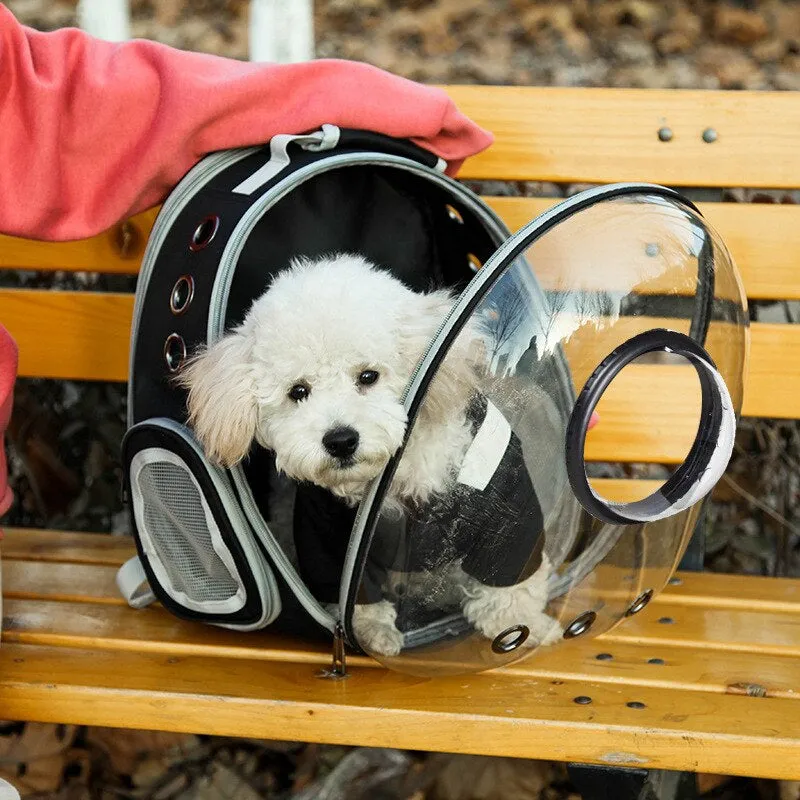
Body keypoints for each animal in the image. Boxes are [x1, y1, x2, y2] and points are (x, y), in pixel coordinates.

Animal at [179, 255, 560, 656]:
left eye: (368, 376)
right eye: (298, 391)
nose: (340, 440)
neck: (400, 474)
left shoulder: (507, 506)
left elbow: (511, 576)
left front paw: (524, 626)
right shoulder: (325, 529)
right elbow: (352, 588)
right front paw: (371, 631)